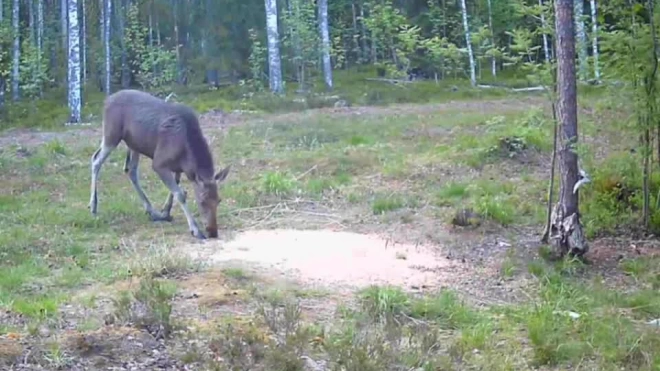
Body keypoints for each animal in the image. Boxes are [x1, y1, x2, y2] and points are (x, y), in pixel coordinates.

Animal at [87, 90, 232, 241]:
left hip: (134, 144)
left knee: (130, 170)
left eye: (219, 200)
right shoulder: (158, 163)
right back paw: (93, 206)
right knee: (96, 159)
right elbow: (180, 194)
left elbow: (175, 191)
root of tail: (107, 100)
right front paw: (195, 229)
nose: (213, 231)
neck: (187, 156)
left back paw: (151, 211)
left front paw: (165, 212)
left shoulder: (178, 168)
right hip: (112, 135)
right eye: (202, 201)